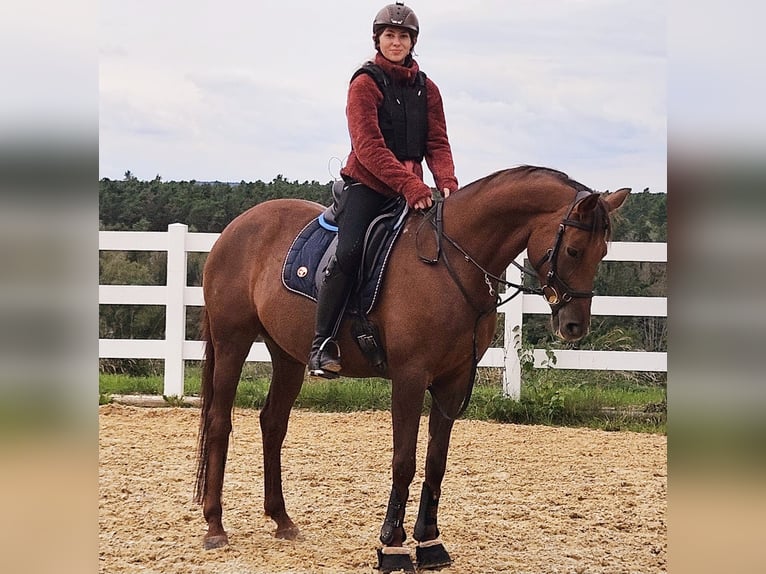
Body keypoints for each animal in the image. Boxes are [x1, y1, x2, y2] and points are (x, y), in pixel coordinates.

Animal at [192, 164, 632, 572]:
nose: (574, 326)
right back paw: (215, 526)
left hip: (287, 355)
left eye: (602, 253)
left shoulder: (453, 382)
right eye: (573, 250)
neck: (452, 264)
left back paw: (282, 520)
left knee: (273, 424)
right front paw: (392, 545)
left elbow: (436, 462)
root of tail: (235, 228)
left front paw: (430, 542)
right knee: (219, 422)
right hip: (232, 342)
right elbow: (404, 461)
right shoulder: (409, 378)